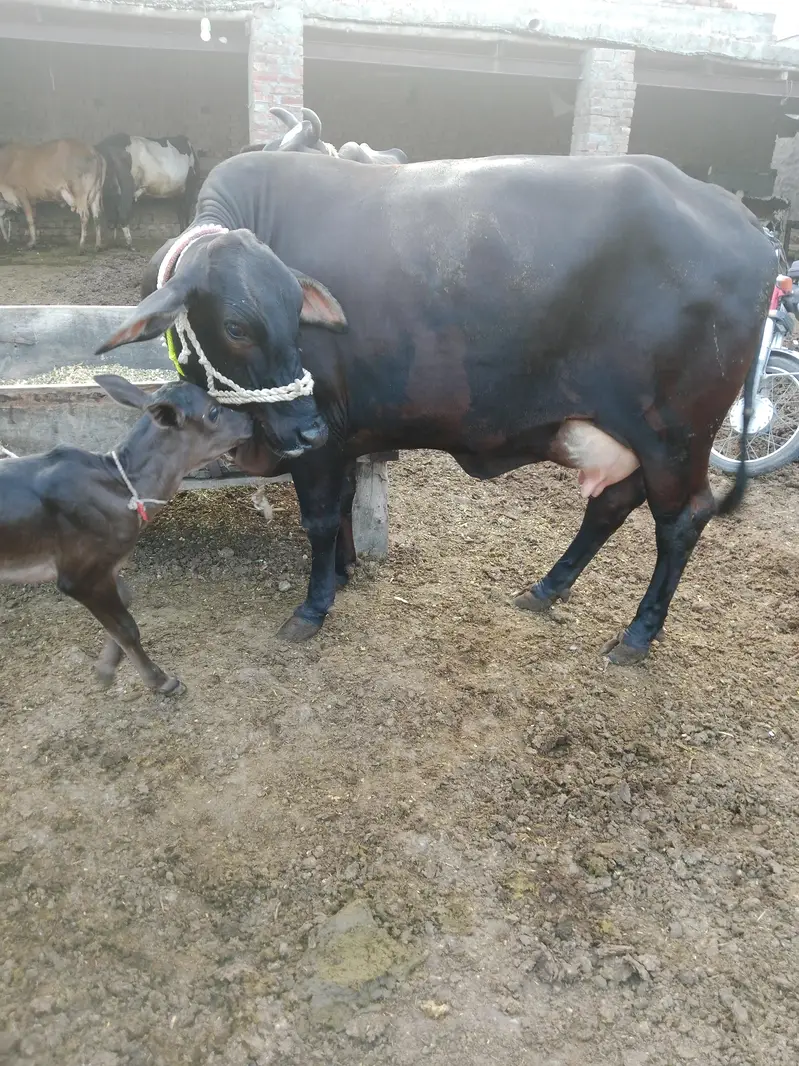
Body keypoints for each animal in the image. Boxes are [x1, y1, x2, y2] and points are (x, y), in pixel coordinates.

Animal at [96, 151, 775, 665]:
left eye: (295, 313)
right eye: (236, 326)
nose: (303, 425)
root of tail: (742, 219)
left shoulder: (322, 442)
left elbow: (319, 518)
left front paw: (313, 606)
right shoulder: (340, 438)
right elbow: (344, 506)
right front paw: (344, 571)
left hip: (676, 434)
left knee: (682, 519)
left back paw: (636, 635)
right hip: (625, 432)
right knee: (612, 503)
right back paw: (545, 588)